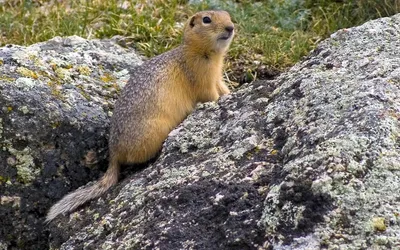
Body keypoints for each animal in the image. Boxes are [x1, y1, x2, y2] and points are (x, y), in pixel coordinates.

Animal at [46, 9, 234, 222]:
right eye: (207, 20)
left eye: (228, 15)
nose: (230, 27)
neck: (199, 52)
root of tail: (113, 153)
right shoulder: (200, 77)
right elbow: (210, 95)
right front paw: (221, 99)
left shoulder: (216, 77)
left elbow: (222, 87)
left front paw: (231, 93)